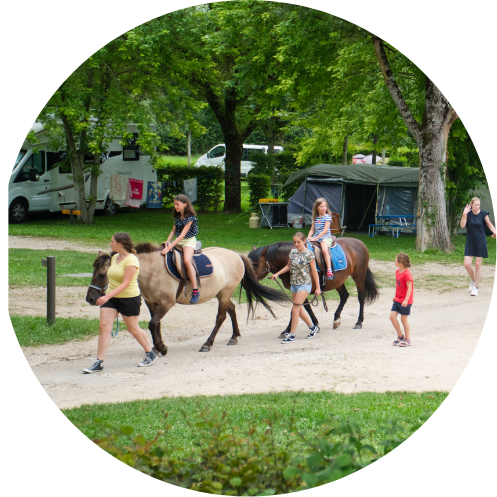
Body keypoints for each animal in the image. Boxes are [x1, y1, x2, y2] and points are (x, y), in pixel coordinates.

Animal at [85, 243, 286, 352]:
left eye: (102, 274)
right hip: (221, 293)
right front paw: (158, 346)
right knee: (231, 309)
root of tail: (236, 255)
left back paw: (207, 343)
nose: (90, 299)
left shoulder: (167, 303)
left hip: (224, 293)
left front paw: (160, 347)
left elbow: (152, 324)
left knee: (221, 317)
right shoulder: (152, 303)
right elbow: (156, 324)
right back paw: (234, 337)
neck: (152, 271)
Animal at [248, 238, 380, 336]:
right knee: (344, 295)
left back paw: (359, 321)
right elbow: (302, 308)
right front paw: (313, 324)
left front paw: (290, 329)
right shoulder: (296, 289)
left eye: (256, 264)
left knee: (361, 297)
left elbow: (300, 308)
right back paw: (336, 319)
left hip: (359, 276)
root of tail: (360, 243)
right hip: (338, 281)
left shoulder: (304, 288)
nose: (249, 278)